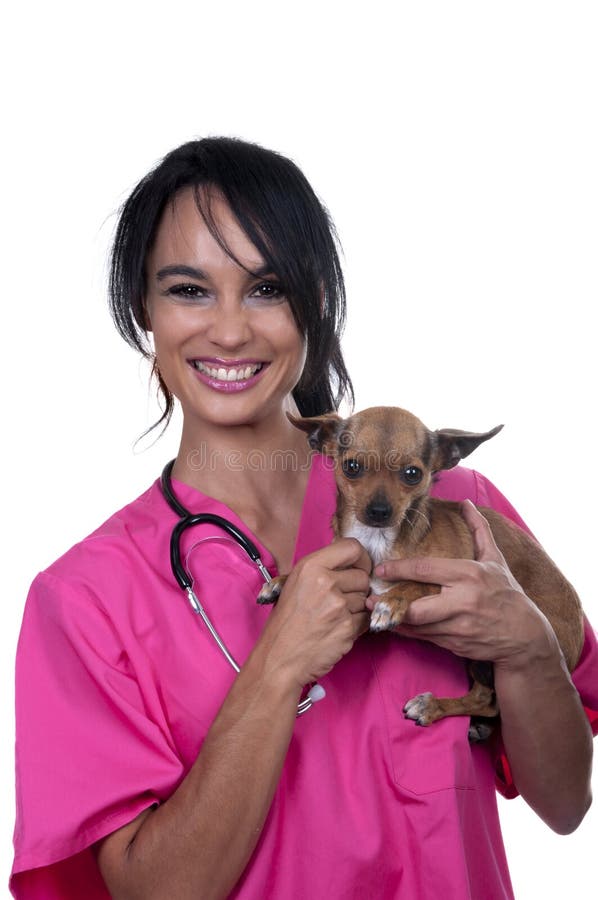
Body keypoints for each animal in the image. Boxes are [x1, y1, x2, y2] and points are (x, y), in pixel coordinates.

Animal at [258, 404, 584, 736]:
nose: (379, 511)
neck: (378, 543)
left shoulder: (456, 578)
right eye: (351, 467)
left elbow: (417, 584)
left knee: (488, 701)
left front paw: (392, 601)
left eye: (412, 474)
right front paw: (283, 581)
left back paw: (433, 706)